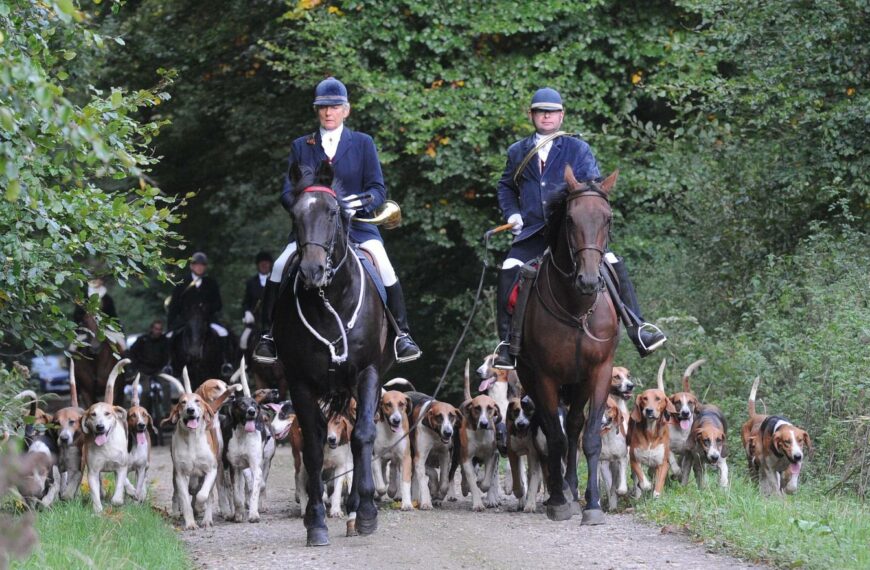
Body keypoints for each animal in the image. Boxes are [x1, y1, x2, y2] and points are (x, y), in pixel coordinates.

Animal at [274, 161, 396, 544]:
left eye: (331, 213)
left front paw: (366, 512)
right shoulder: (300, 381)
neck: (329, 300)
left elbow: (362, 436)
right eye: (295, 214)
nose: (312, 271)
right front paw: (315, 521)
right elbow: (313, 447)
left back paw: (357, 508)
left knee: (359, 436)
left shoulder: (367, 373)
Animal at [516, 165, 620, 524]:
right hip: (533, 380)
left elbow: (589, 437)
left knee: (574, 425)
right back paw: (559, 492)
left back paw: (573, 490)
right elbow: (556, 439)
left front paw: (592, 504)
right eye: (571, 219)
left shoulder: (600, 372)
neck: (576, 307)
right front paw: (558, 501)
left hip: (579, 383)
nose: (588, 280)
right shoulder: (545, 377)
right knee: (555, 431)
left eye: (607, 219)